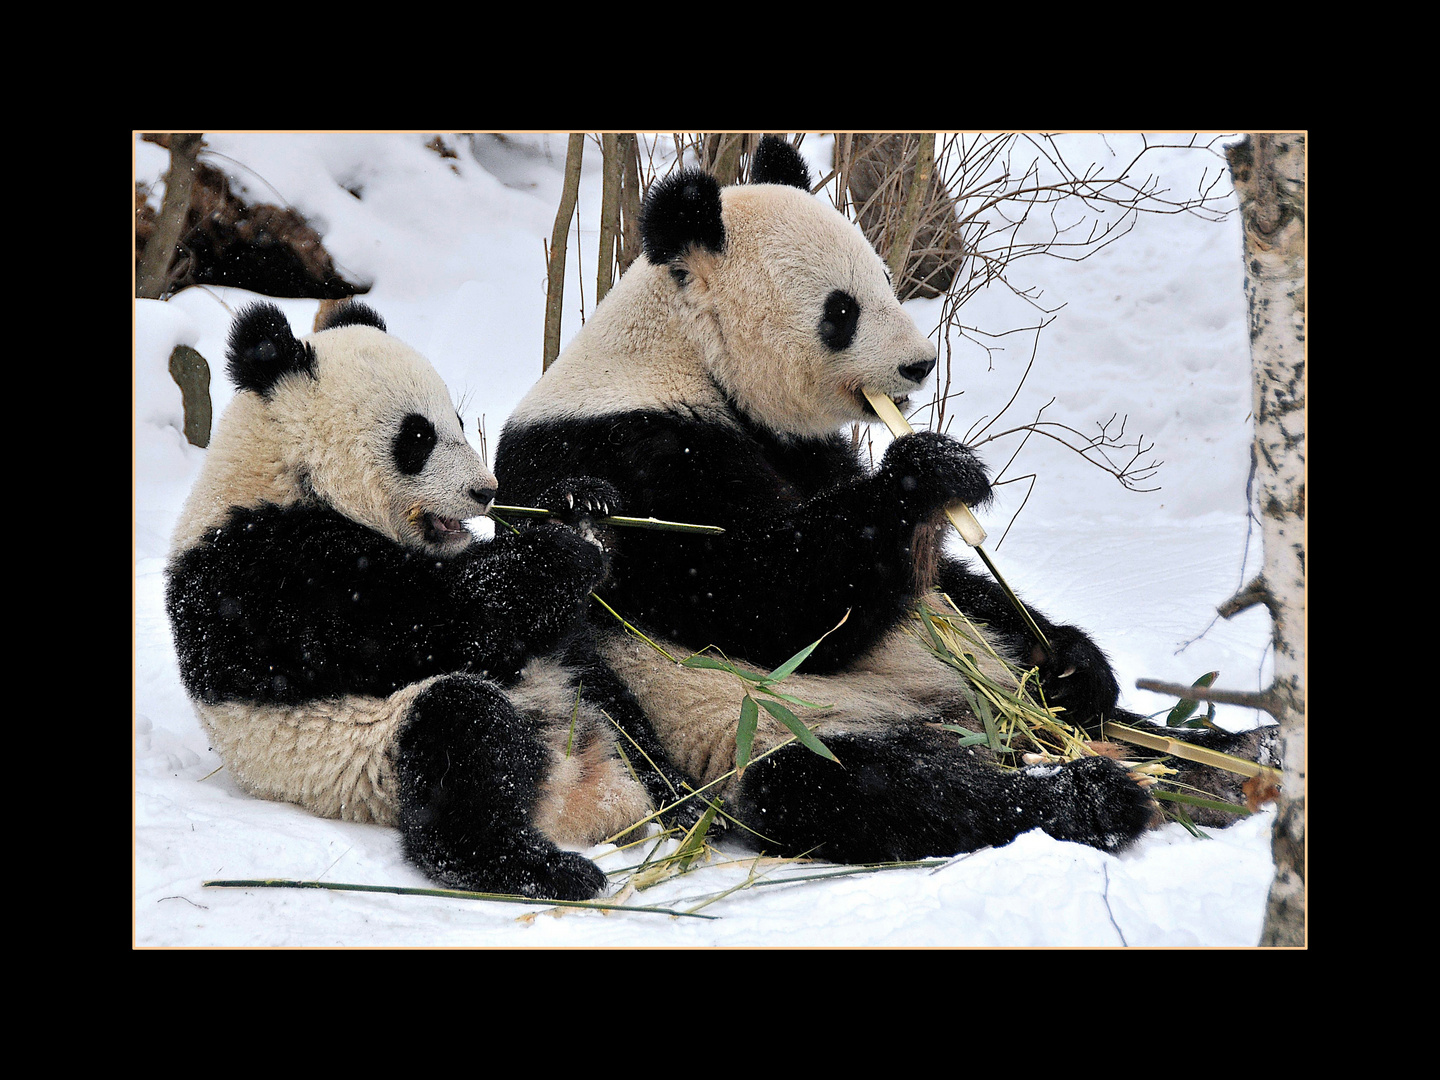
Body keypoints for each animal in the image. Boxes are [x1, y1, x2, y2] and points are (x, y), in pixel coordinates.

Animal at [163, 300, 679, 898]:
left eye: (456, 419)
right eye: (417, 436)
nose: (486, 491)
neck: (284, 472)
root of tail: (575, 796)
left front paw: (582, 501)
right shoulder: (269, 572)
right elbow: (436, 621)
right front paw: (562, 553)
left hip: (567, 687)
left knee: (616, 708)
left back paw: (688, 809)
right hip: (366, 761)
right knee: (463, 740)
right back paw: (542, 868)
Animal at [495, 137, 1169, 864]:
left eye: (886, 277)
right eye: (841, 310)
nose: (919, 365)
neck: (687, 352)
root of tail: (963, 717)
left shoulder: (800, 446)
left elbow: (942, 579)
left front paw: (1072, 658)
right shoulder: (621, 456)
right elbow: (764, 601)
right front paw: (930, 472)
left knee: (1096, 716)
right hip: (766, 721)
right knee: (886, 785)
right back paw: (1092, 795)